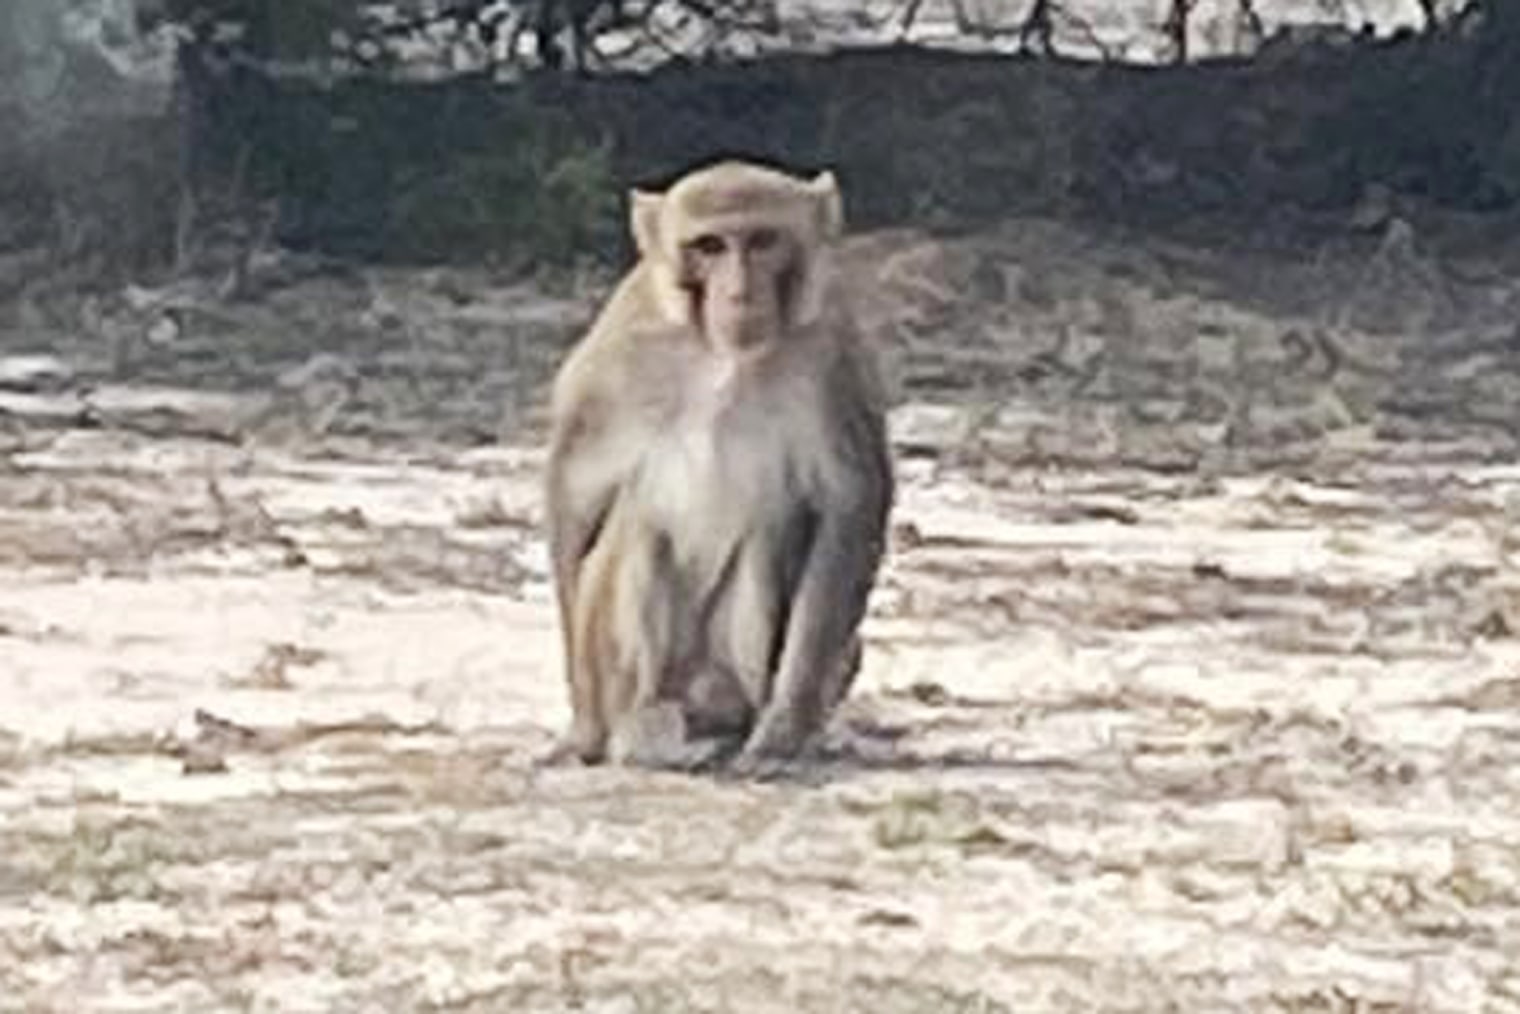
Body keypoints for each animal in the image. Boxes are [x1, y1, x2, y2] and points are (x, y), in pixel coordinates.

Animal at [542, 160, 894, 776]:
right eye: (709, 246)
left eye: (762, 241)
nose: (740, 293)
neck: (722, 354)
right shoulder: (620, 351)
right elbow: (576, 498)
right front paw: (582, 729)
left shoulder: (832, 351)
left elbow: (848, 506)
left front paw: (782, 731)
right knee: (637, 524)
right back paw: (644, 726)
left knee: (763, 540)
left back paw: (735, 721)